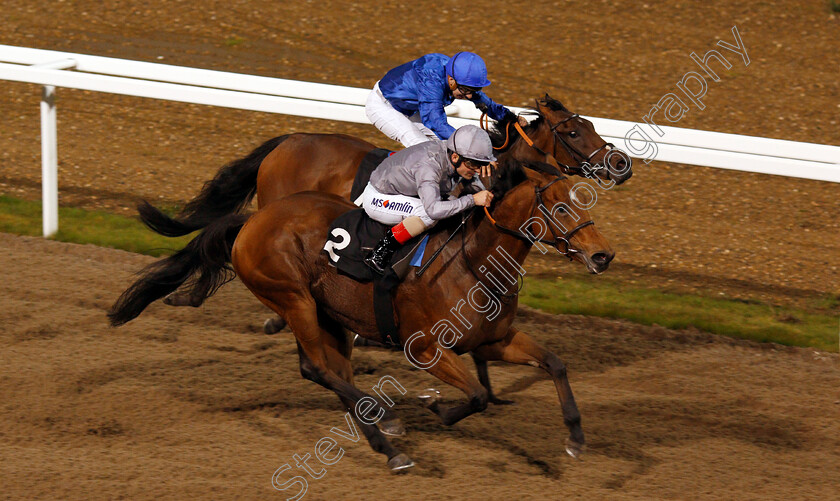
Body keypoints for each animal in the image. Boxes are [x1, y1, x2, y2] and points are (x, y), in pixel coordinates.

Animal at [108, 159, 612, 468]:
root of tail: (252, 220)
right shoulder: (424, 349)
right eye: (561, 205)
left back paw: (380, 427)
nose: (603, 256)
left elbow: (554, 364)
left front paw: (575, 439)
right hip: (293, 298)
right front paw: (437, 407)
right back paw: (388, 440)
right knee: (317, 369)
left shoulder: (493, 340)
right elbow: (475, 395)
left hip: (327, 314)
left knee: (331, 371)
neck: (472, 262)